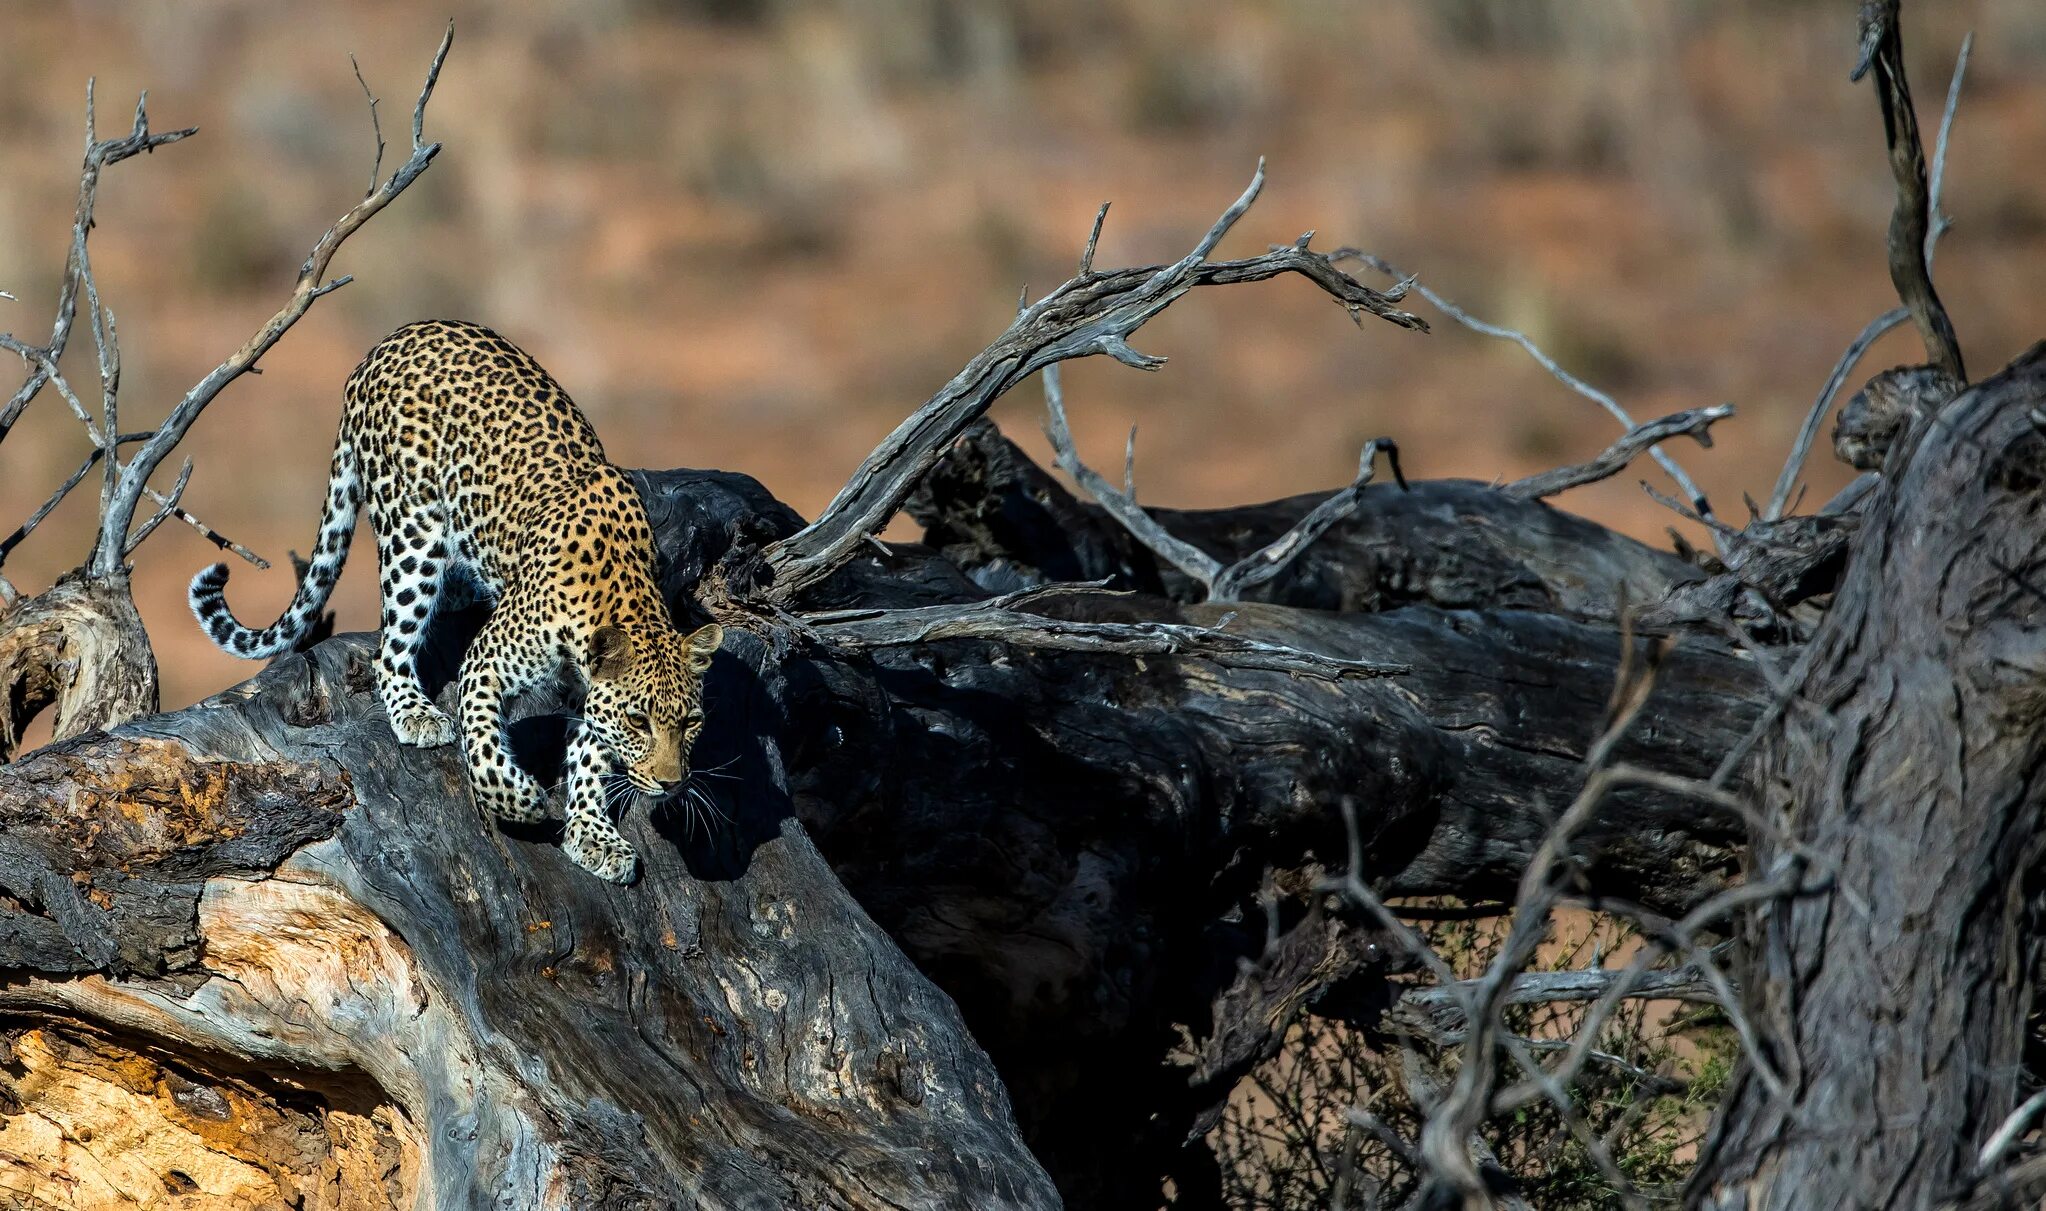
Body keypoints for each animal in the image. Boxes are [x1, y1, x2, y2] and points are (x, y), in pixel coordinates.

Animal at [192, 315, 720, 879]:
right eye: (639, 721)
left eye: (691, 722)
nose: (671, 784)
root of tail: (384, 346)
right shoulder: (487, 661)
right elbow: (485, 745)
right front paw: (520, 802)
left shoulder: (590, 692)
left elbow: (589, 759)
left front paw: (593, 835)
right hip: (411, 536)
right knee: (389, 648)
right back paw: (415, 713)